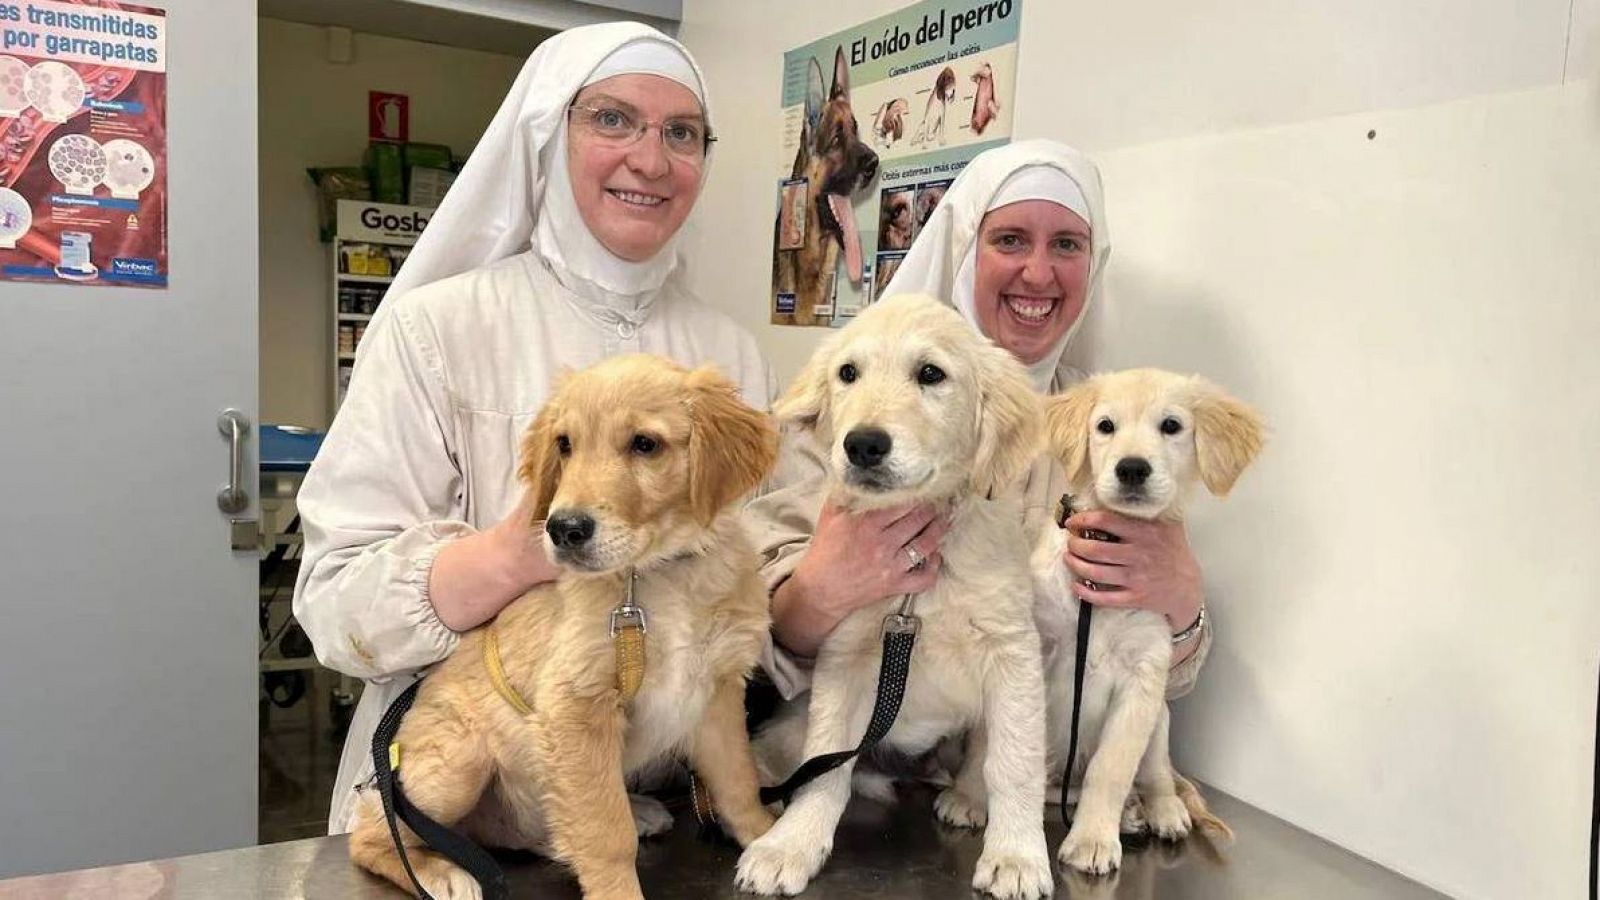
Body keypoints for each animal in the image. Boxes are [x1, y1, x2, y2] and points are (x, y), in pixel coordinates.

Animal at [347, 353, 777, 890]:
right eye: (564, 444)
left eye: (645, 444)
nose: (563, 529)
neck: (654, 576)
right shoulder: (575, 707)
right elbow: (606, 834)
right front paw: (618, 893)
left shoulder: (716, 692)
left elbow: (738, 780)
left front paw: (769, 839)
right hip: (459, 760)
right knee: (372, 830)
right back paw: (440, 874)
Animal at [732, 294, 1056, 896]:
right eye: (847, 374)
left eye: (931, 374)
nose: (862, 444)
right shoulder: (845, 655)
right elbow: (825, 765)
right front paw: (793, 844)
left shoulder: (1012, 653)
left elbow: (1014, 763)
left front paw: (1018, 855)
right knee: (788, 757)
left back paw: (967, 798)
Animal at [1030, 365, 1267, 871]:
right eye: (1105, 426)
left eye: (1171, 426)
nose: (1133, 468)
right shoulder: (1037, 647)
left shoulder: (1142, 681)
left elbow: (1111, 769)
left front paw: (1092, 840)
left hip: (1160, 719)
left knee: (1152, 776)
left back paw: (1158, 811)